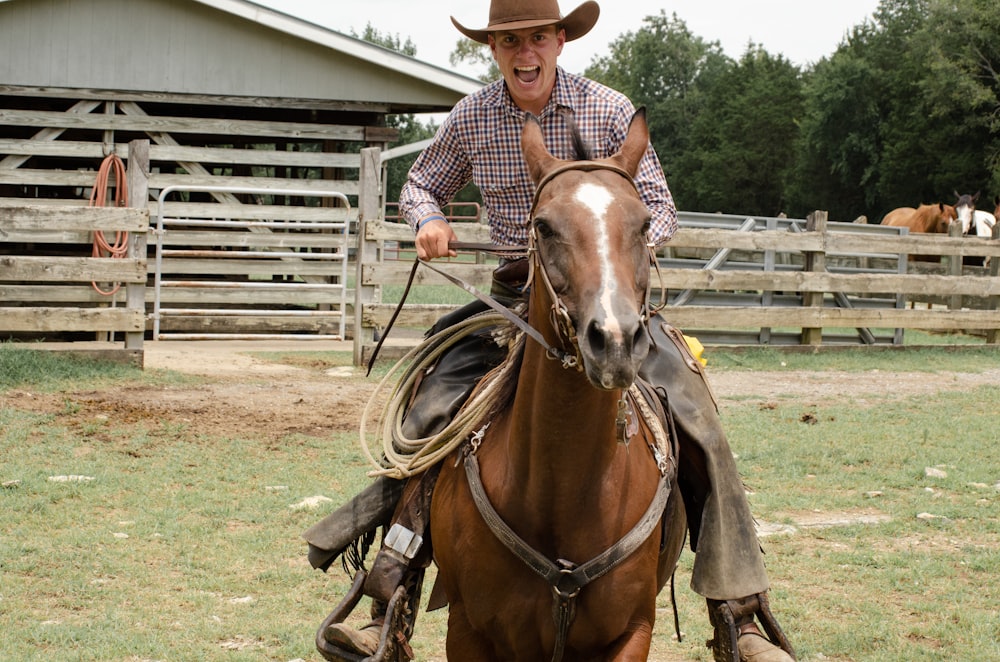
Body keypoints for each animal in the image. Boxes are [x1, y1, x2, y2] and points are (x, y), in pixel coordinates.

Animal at [430, 110, 688, 662]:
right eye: (544, 226)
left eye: (644, 224)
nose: (615, 340)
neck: (563, 497)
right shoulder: (466, 630)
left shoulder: (633, 631)